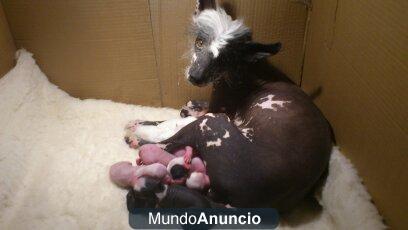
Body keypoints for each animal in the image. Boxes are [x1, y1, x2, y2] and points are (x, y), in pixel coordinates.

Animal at [126, 0, 334, 212]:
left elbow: (170, 123)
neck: (246, 72)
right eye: (199, 42)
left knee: (166, 144)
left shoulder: (215, 112)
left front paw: (142, 127)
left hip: (211, 123)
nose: (195, 77)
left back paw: (138, 139)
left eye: (225, 59)